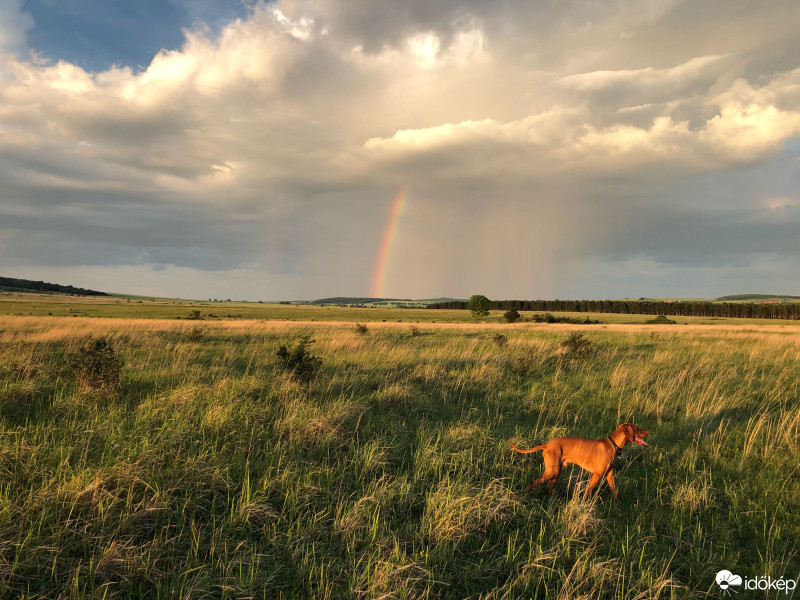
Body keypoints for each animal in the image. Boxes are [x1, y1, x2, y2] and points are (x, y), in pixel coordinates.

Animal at [510, 422, 648, 502]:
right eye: (636, 429)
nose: (647, 431)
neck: (612, 445)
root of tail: (548, 444)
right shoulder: (597, 474)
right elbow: (588, 490)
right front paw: (583, 504)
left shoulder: (609, 474)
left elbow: (614, 490)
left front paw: (618, 504)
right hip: (552, 471)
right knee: (533, 482)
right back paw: (525, 496)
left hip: (556, 472)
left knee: (548, 488)